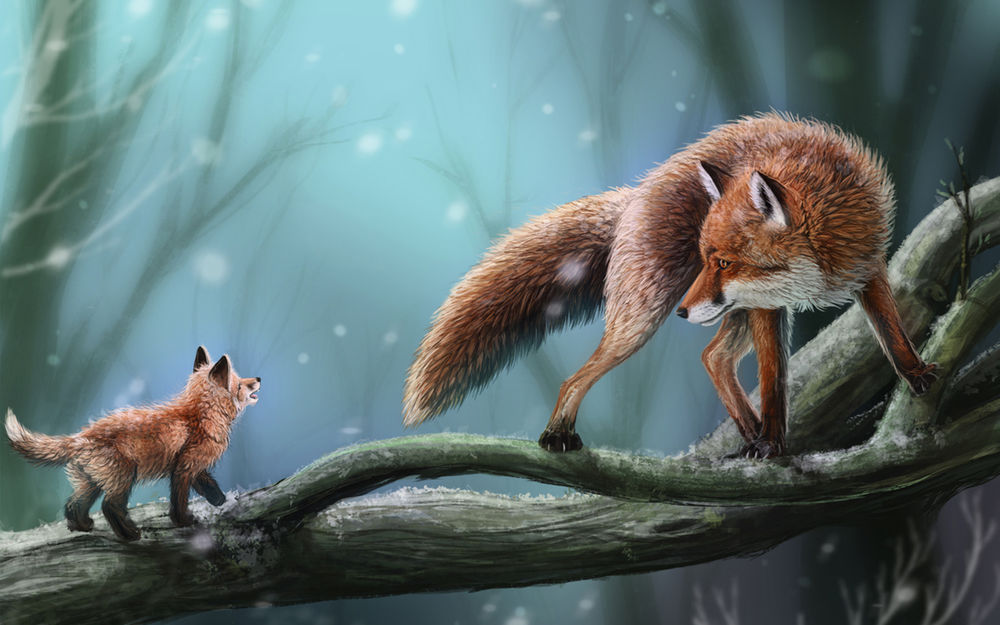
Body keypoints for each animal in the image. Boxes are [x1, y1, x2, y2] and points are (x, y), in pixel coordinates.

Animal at [5, 346, 260, 541]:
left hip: (91, 482)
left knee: (72, 504)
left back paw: (82, 527)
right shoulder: (184, 468)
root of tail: (81, 436)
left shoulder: (194, 467)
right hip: (124, 477)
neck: (200, 415)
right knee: (109, 506)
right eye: (239, 384)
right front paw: (184, 521)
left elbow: (210, 487)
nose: (258, 379)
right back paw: (129, 535)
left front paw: (221, 501)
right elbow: (179, 500)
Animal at [403, 112, 938, 458]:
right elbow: (773, 383)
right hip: (645, 319)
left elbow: (891, 331)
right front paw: (772, 442)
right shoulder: (768, 308)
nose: (682, 312)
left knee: (713, 357)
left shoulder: (865, 269)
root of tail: (638, 192)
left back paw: (746, 432)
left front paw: (916, 374)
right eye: (706, 259)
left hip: (730, 311)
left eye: (723, 261)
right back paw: (558, 434)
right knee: (580, 377)